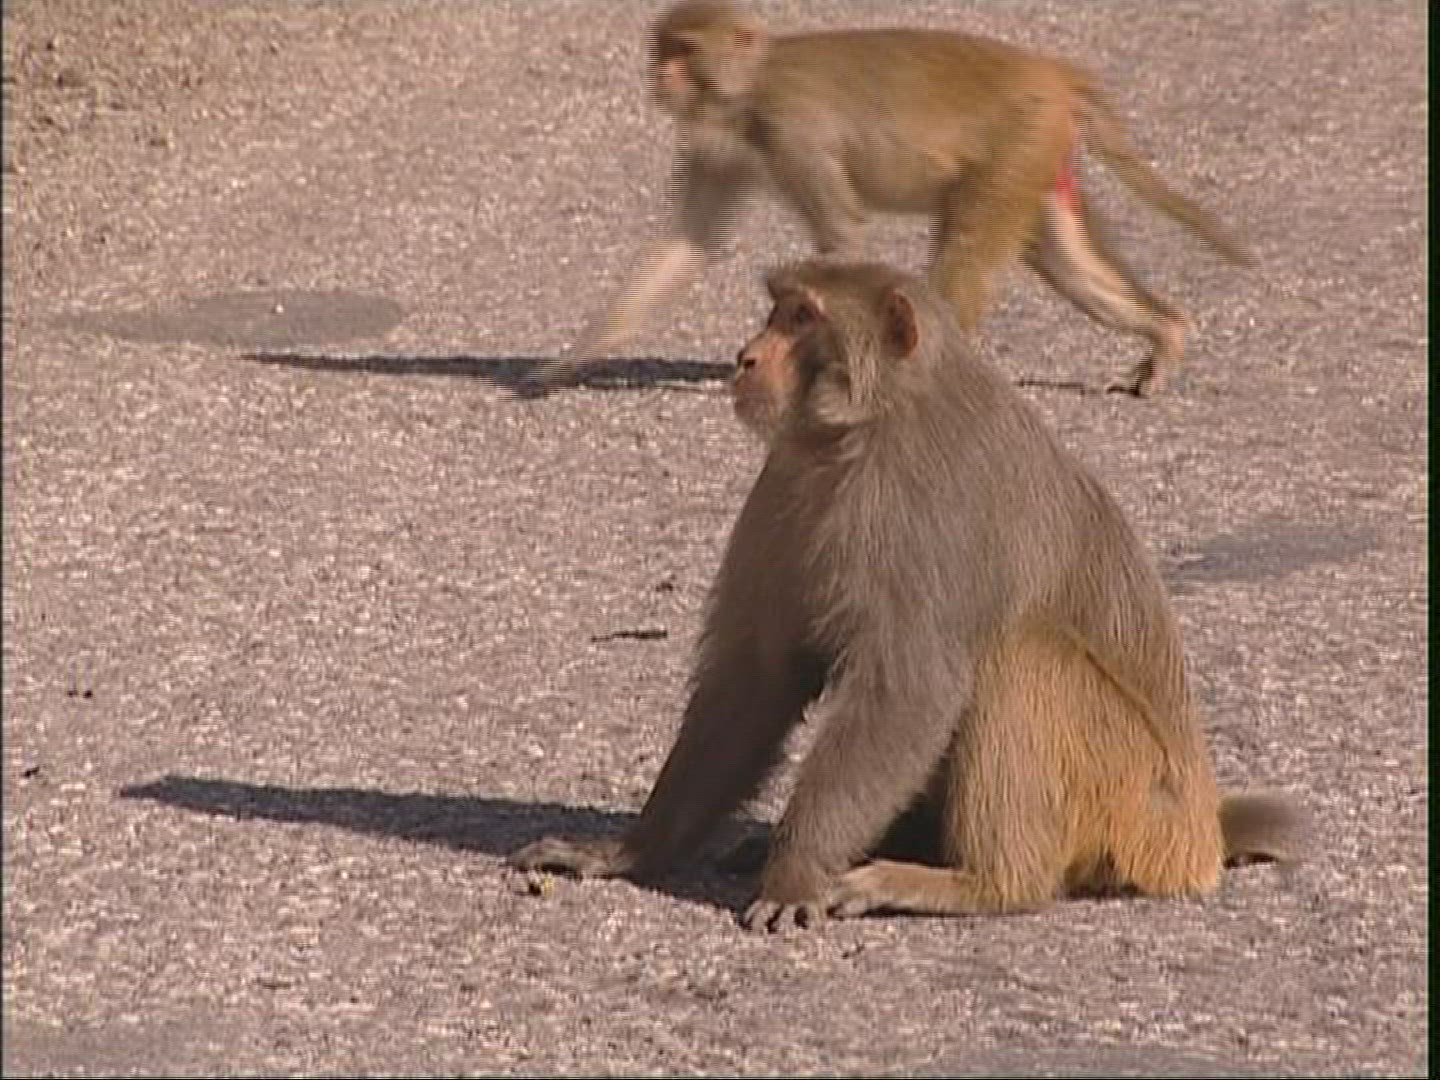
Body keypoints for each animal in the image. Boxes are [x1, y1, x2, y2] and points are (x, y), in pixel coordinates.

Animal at [512, 259, 1299, 930]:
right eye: (776, 311)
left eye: (802, 317)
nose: (745, 356)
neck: (866, 429)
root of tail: (1201, 827)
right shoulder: (787, 480)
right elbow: (758, 675)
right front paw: (631, 850)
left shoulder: (923, 510)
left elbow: (907, 691)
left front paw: (794, 874)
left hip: (1135, 794)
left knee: (1022, 653)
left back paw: (979, 883)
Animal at [532, 0, 1253, 399]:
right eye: (663, 50)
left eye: (684, 52)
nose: (661, 76)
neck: (748, 87)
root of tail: (1054, 73)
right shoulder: (723, 146)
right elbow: (686, 246)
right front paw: (573, 358)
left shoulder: (792, 132)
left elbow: (841, 238)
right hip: (1040, 161)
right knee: (1067, 264)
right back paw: (1165, 332)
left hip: (1017, 145)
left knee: (965, 255)